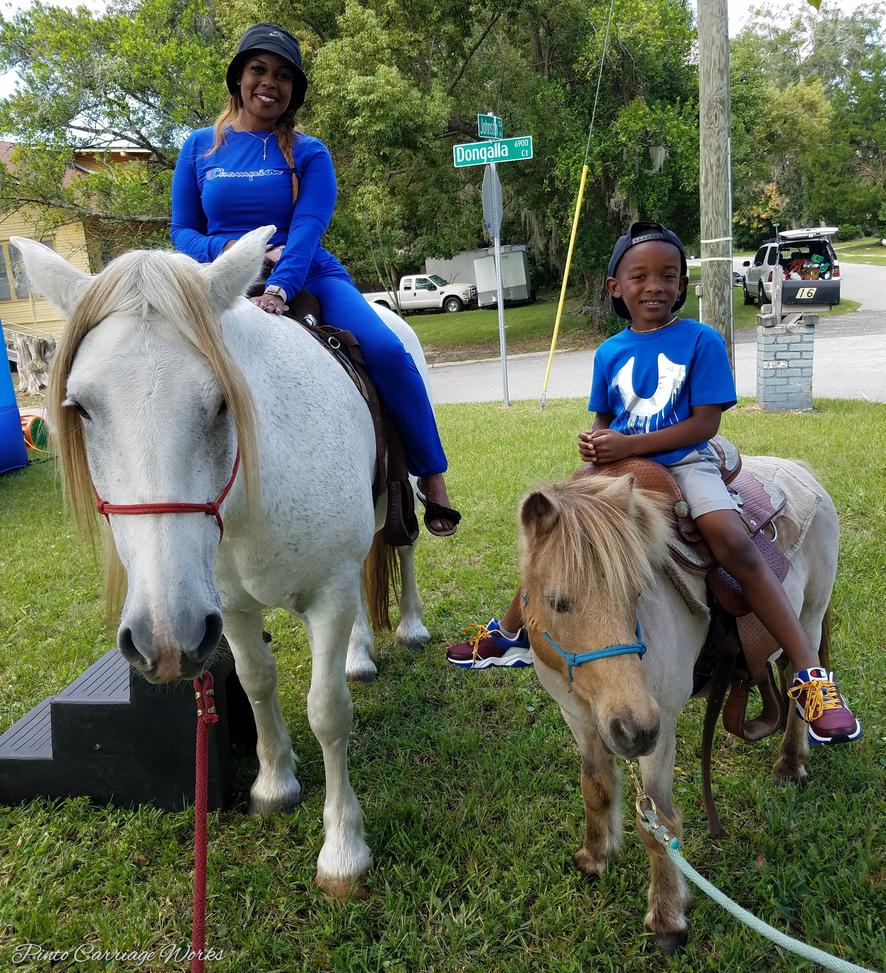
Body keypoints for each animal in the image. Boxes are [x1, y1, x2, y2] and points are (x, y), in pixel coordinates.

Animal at [12, 228, 430, 896]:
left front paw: (343, 848)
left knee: (405, 546)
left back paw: (411, 625)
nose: (161, 638)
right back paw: (360, 653)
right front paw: (275, 785)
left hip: (406, 491)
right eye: (81, 407)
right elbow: (258, 683)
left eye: (221, 403)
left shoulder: (328, 594)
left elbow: (327, 710)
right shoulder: (227, 608)